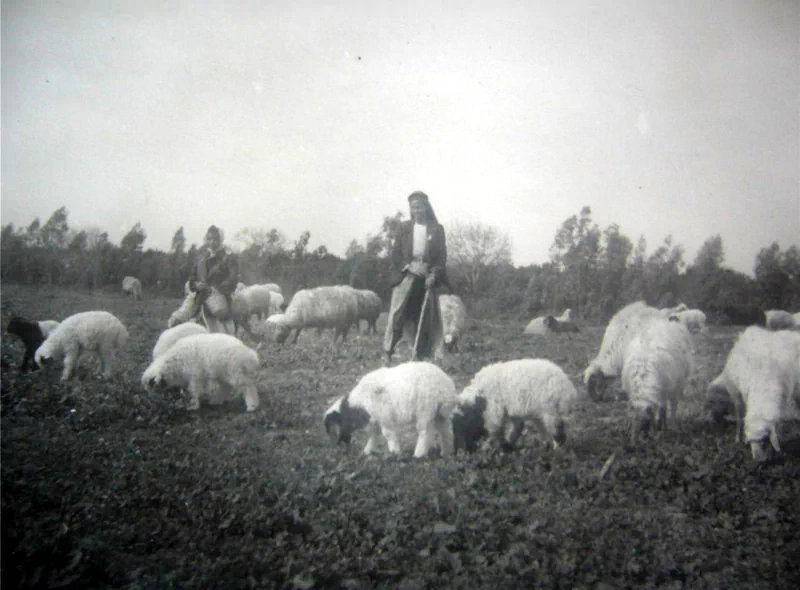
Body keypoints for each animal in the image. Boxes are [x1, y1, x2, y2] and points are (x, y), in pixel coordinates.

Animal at [320, 364, 456, 460]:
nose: (336, 447)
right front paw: (366, 452)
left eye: (331, 429)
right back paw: (447, 453)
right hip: (441, 414)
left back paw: (419, 455)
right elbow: (374, 435)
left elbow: (388, 434)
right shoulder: (375, 419)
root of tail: (447, 388)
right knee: (447, 432)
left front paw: (395, 453)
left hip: (425, 410)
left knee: (425, 432)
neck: (359, 402)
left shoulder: (384, 415)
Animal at [454, 360, 584, 454]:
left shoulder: (493, 410)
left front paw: (490, 448)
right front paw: (507, 446)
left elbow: (494, 429)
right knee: (547, 429)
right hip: (542, 412)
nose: (464, 449)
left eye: (464, 419)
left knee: (557, 429)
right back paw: (547, 447)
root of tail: (567, 387)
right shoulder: (513, 414)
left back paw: (558, 451)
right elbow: (516, 429)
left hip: (549, 409)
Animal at [708, 328, 800, 462]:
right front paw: (738, 439)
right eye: (750, 442)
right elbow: (740, 420)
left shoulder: (783, 399)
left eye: (765, 440)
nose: (759, 461)